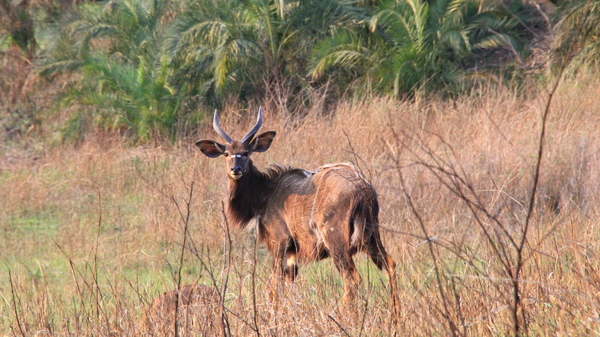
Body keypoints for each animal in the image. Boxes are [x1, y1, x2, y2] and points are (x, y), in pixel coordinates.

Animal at [195, 107, 396, 302]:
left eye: (246, 153)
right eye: (226, 153)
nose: (235, 169)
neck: (266, 194)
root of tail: (363, 190)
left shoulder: (280, 241)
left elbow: (273, 286)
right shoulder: (293, 253)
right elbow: (288, 284)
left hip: (336, 241)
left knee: (352, 278)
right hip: (372, 236)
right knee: (390, 266)